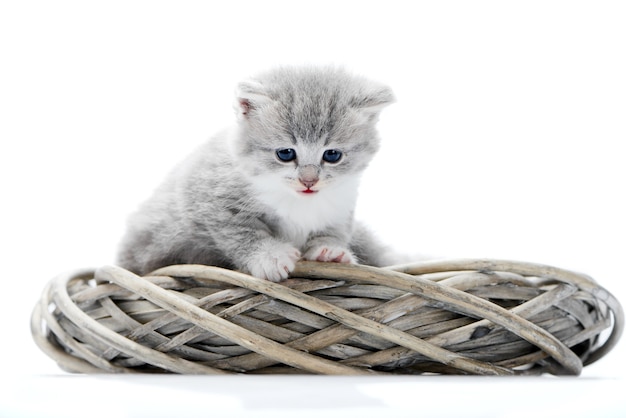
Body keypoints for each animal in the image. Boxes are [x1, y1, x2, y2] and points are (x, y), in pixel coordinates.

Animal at [117, 66, 394, 280]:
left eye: (332, 155)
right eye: (285, 154)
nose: (309, 181)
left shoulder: (341, 208)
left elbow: (335, 231)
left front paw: (330, 251)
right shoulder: (209, 198)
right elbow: (242, 232)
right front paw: (269, 256)